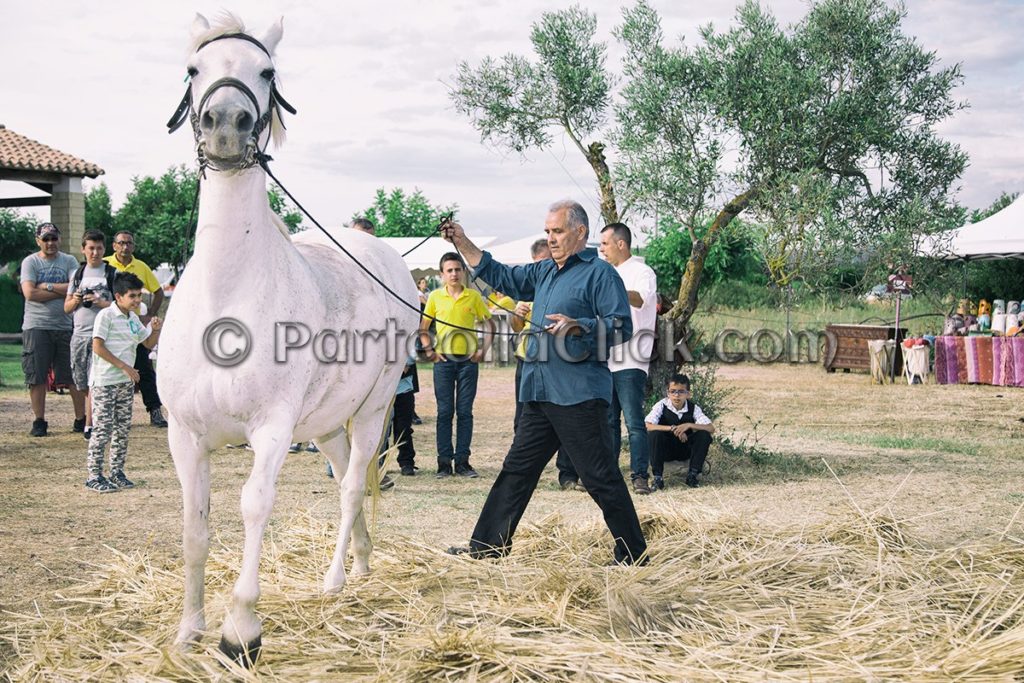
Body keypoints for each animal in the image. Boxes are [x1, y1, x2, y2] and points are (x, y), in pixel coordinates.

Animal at [157, 13, 417, 663]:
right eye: (193, 69)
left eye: (267, 72)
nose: (226, 122)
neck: (226, 297)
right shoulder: (184, 436)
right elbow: (195, 526)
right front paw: (189, 629)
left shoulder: (271, 430)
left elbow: (254, 505)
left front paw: (240, 629)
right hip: (325, 425)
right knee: (349, 478)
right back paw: (362, 562)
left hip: (372, 410)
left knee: (351, 488)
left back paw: (335, 581)